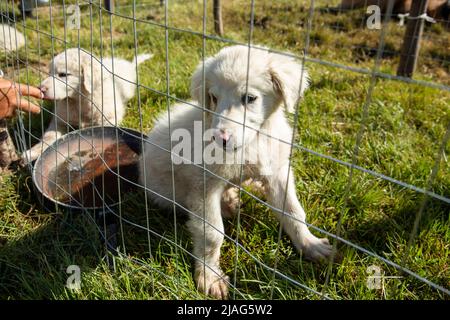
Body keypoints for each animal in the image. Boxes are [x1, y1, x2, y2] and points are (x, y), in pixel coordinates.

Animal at [22, 48, 152, 162]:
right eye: (49, 73)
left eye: (63, 74)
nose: (40, 88)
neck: (79, 100)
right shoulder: (59, 120)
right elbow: (49, 136)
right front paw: (32, 152)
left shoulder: (108, 118)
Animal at [139, 45, 332, 300]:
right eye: (213, 97)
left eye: (249, 98)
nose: (218, 138)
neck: (253, 143)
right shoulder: (204, 186)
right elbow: (211, 233)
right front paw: (210, 276)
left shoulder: (278, 173)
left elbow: (293, 212)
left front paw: (310, 244)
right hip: (166, 192)